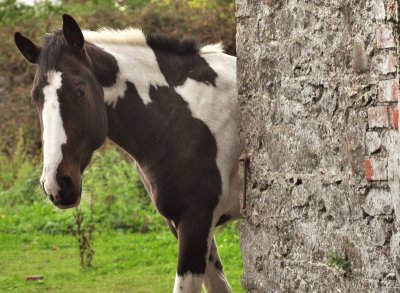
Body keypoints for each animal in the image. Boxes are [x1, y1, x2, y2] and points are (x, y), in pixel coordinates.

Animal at [14, 14, 241, 292]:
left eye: (80, 90)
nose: (57, 184)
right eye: (36, 96)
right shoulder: (185, 226)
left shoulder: (195, 221)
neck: (179, 117)